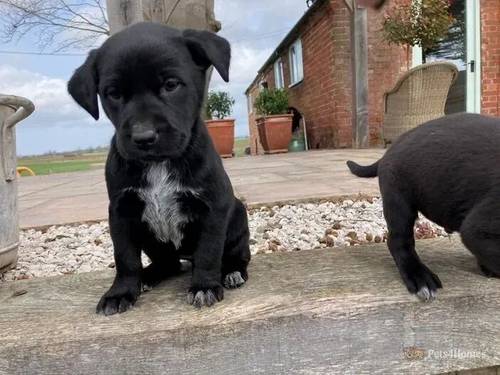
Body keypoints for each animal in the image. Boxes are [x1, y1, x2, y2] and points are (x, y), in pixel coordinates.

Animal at [67, 22, 250, 316]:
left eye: (171, 85)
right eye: (113, 93)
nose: (143, 137)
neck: (159, 163)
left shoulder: (212, 207)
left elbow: (209, 251)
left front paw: (204, 286)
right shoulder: (121, 211)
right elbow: (125, 257)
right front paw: (120, 292)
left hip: (238, 221)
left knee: (238, 255)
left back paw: (232, 272)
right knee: (169, 264)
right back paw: (148, 276)